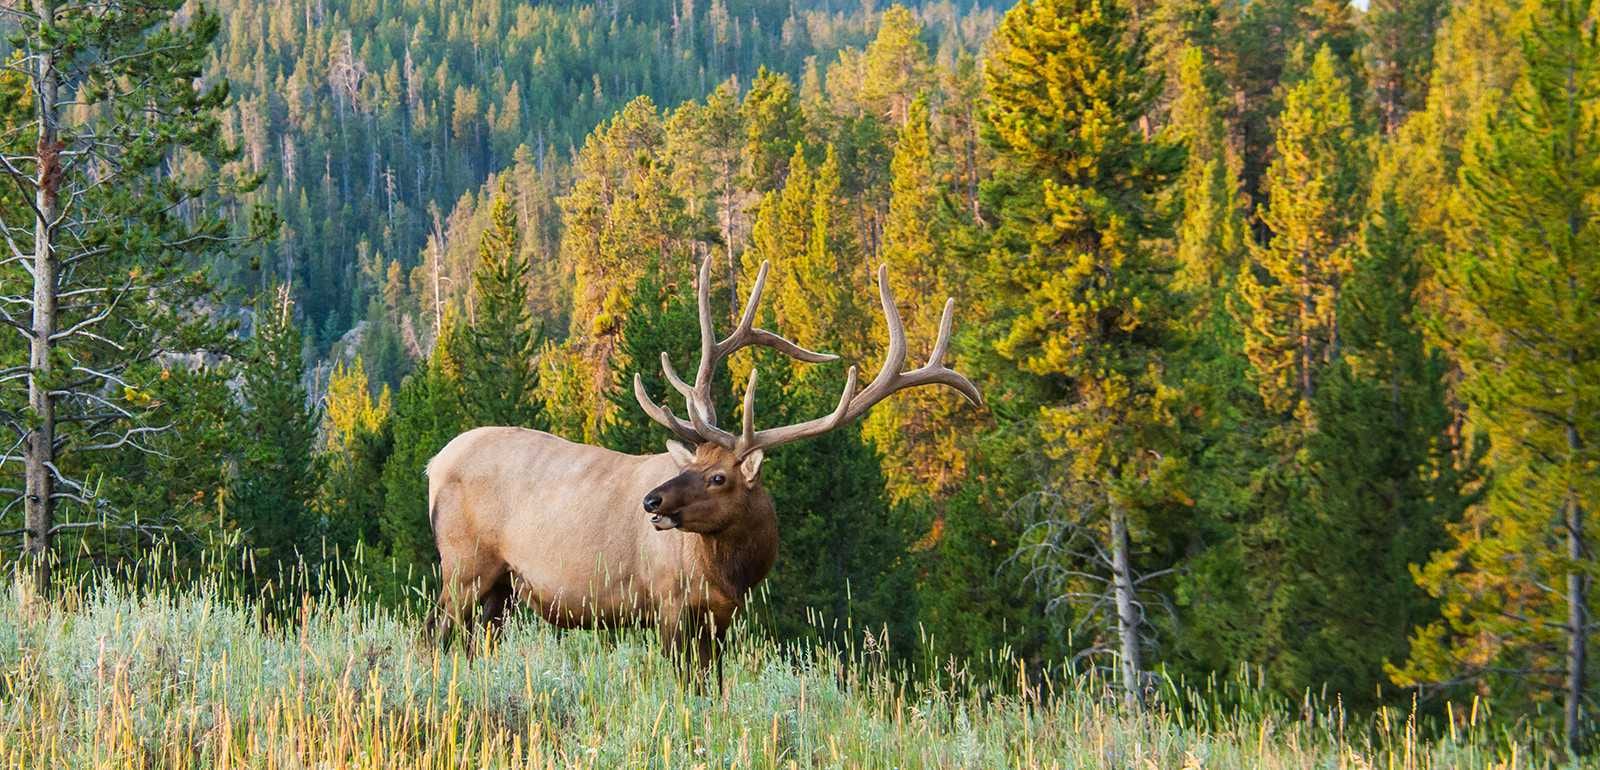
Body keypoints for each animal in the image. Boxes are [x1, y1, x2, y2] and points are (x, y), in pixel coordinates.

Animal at [424, 256, 980, 674]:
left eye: (718, 476)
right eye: (695, 465)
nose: (652, 501)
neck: (731, 573)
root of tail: (433, 464)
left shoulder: (721, 618)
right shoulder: (666, 602)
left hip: (501, 585)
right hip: (463, 563)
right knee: (437, 632)